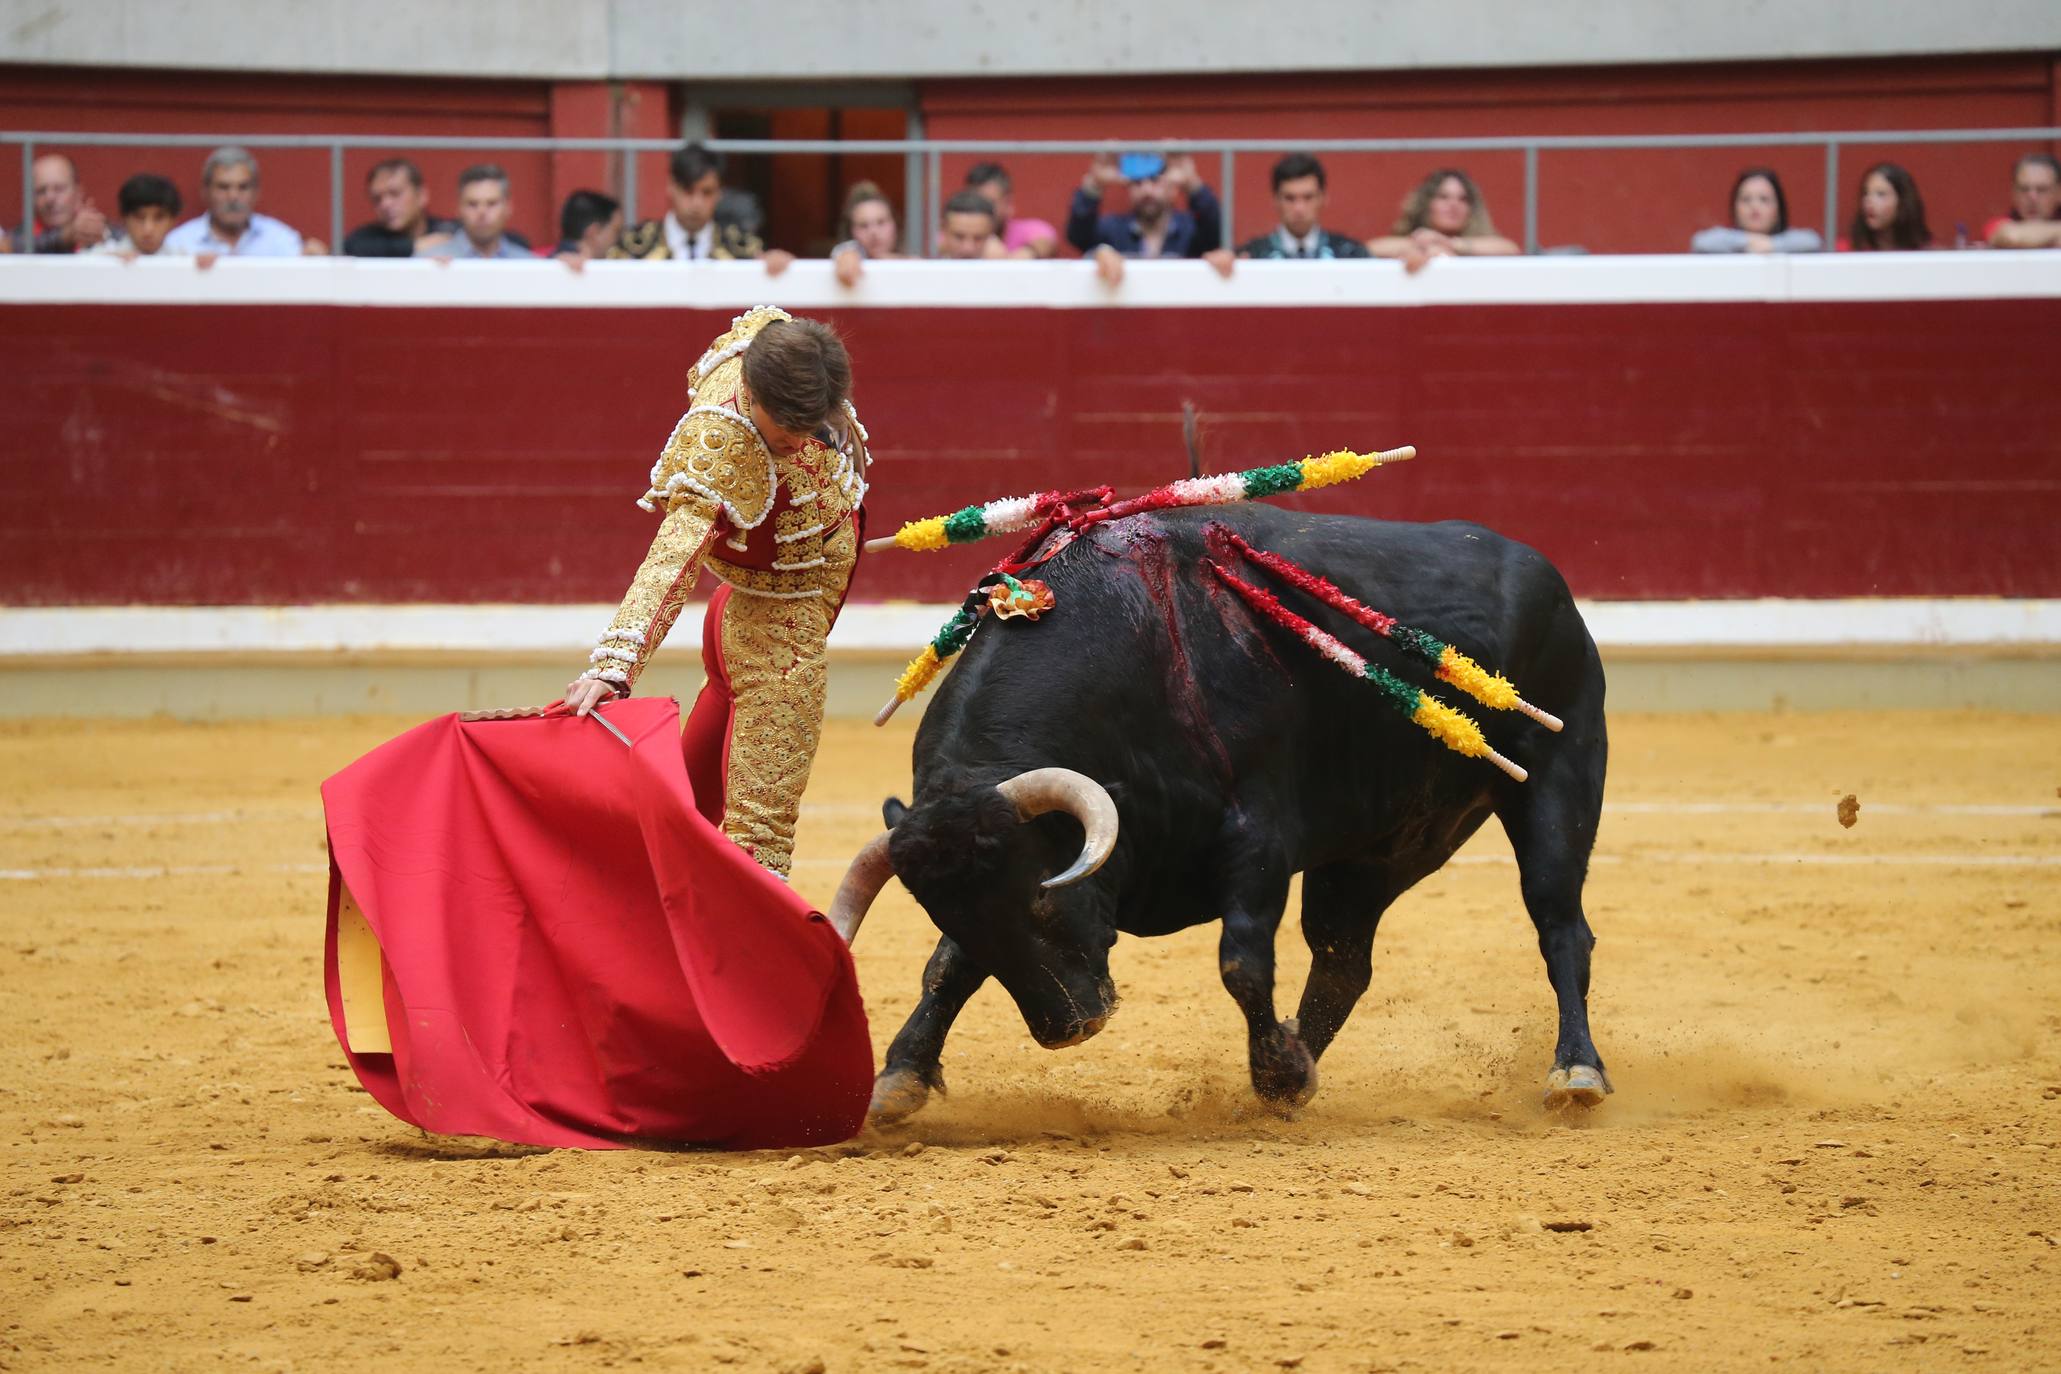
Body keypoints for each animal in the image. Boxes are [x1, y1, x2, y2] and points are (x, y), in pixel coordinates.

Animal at [832, 508, 1607, 1128]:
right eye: (950, 915)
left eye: (1043, 907)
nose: (1069, 1028)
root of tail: (1548, 579)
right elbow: (947, 969)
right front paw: (898, 1078)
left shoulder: (1258, 838)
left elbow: (1241, 959)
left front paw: (1276, 1071)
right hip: (1376, 850)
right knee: (1342, 959)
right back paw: (1298, 1069)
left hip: (1557, 780)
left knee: (1559, 925)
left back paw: (1575, 1072)